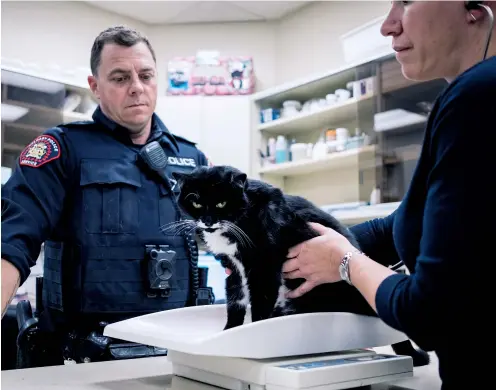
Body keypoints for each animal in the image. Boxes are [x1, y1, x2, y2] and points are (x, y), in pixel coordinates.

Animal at [169, 166, 428, 368]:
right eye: (196, 201)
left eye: (221, 202)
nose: (208, 220)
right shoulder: (233, 268)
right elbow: (235, 301)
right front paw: (227, 332)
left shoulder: (264, 266)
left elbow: (260, 302)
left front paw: (255, 331)